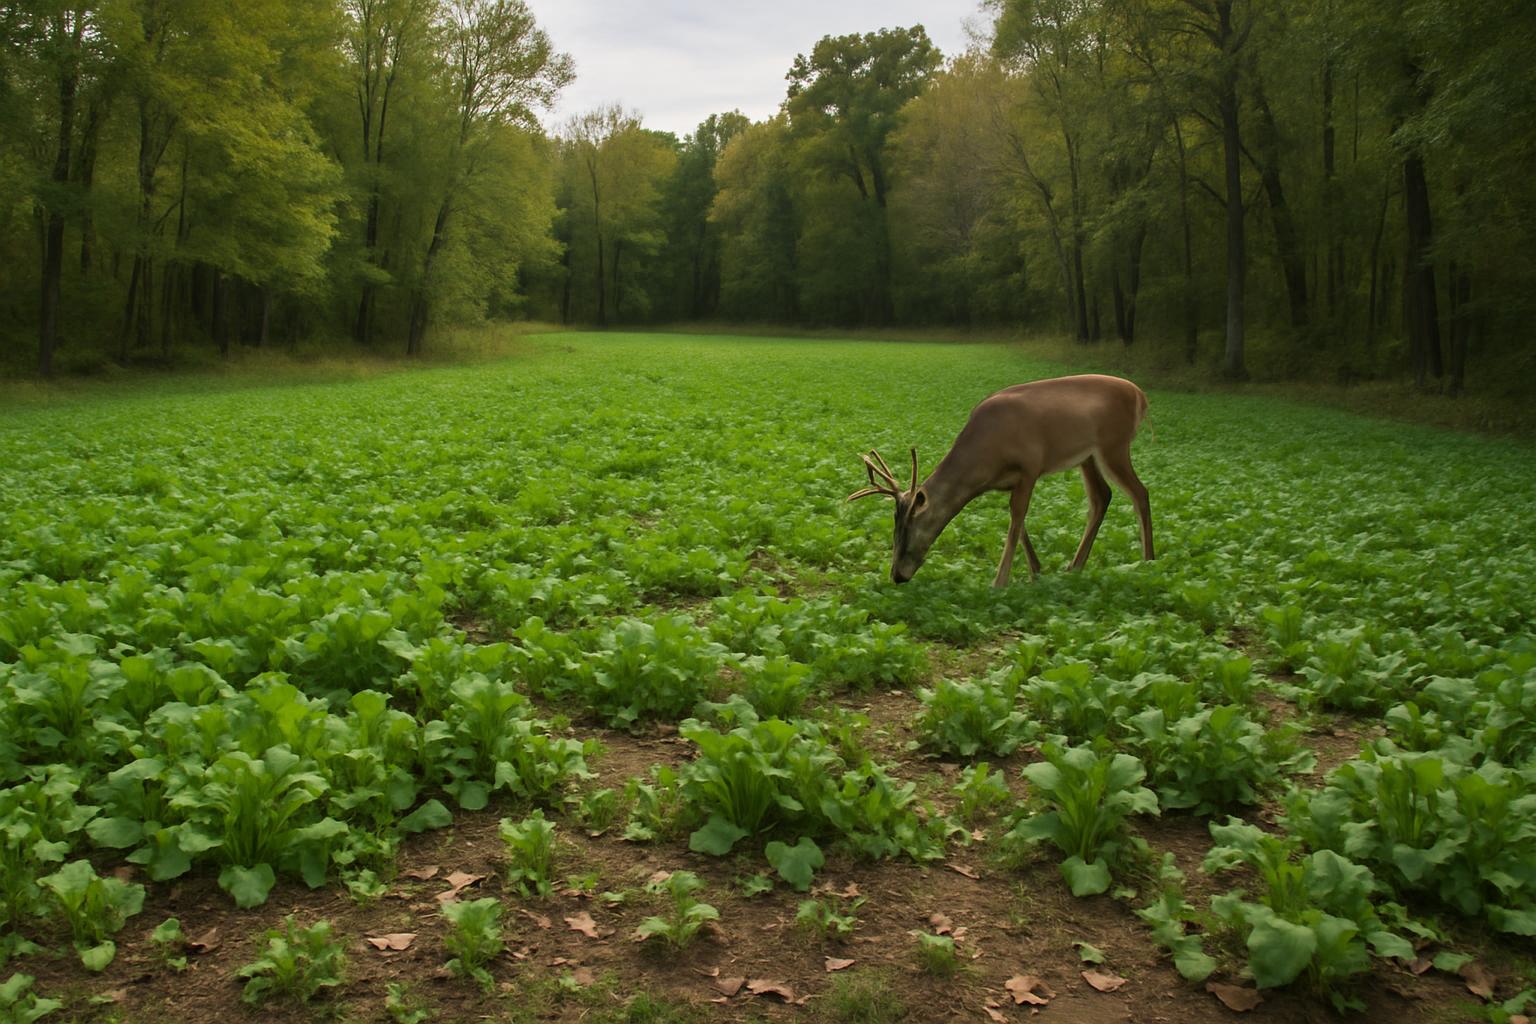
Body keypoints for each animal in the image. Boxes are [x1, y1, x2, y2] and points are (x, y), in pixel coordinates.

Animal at [847, 374, 1154, 587]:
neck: (985, 460)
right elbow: (1020, 524)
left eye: (910, 527)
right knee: (1102, 496)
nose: (897, 575)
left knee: (1140, 492)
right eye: (894, 528)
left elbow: (1017, 517)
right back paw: (1075, 566)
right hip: (1087, 457)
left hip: (1114, 444)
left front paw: (999, 582)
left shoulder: (1030, 466)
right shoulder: (1007, 482)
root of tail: (1140, 395)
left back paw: (1148, 560)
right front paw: (1037, 571)